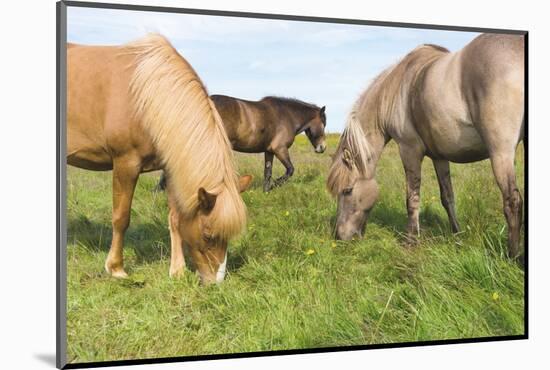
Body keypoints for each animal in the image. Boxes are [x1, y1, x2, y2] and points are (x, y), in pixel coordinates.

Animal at [67, 34, 254, 284]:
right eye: (207, 235)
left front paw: (177, 271)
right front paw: (116, 268)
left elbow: (175, 218)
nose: (216, 282)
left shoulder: (170, 167)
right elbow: (121, 217)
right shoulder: (126, 163)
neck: (147, 96)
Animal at [156, 94, 328, 192]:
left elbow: (267, 172)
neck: (287, 116)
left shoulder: (269, 151)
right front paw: (275, 185)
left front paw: (266, 191)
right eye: (323, 123)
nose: (322, 148)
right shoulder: (280, 149)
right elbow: (290, 170)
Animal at [328, 34, 528, 260]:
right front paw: (457, 235)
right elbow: (447, 197)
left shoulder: (409, 151)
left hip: (501, 151)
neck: (396, 88)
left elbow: (412, 199)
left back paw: (512, 256)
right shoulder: (440, 157)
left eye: (347, 190)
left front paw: (411, 241)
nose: (339, 235)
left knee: (512, 201)